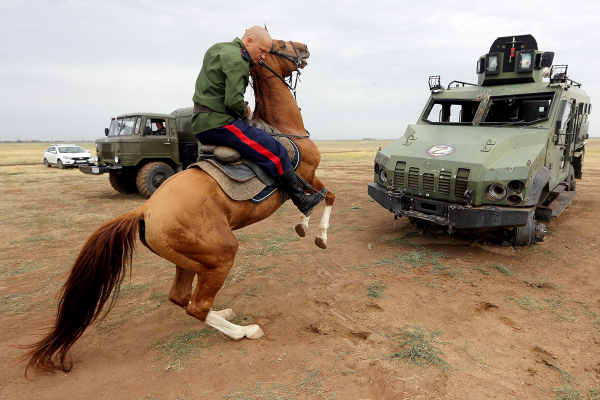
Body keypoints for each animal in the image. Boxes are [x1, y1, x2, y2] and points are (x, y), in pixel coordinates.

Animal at [23, 39, 336, 372]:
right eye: (282, 44)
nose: (304, 48)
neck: (283, 128)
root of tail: (143, 210)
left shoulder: (306, 179)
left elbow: (318, 200)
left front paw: (304, 226)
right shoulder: (306, 176)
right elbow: (325, 196)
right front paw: (318, 233)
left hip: (190, 261)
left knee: (181, 297)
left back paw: (222, 314)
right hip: (222, 255)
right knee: (196, 306)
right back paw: (244, 331)